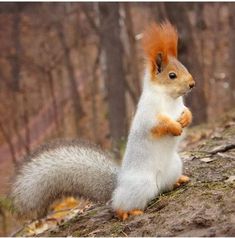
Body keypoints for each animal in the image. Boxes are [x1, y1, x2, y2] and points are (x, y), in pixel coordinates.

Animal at [10, 20, 195, 221]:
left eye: (184, 67)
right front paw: (175, 127)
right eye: (172, 75)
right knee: (119, 206)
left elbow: (186, 111)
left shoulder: (179, 106)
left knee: (165, 185)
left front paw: (185, 119)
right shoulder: (148, 115)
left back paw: (178, 181)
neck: (169, 98)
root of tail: (118, 184)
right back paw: (129, 212)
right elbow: (158, 124)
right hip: (141, 186)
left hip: (175, 165)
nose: (192, 84)